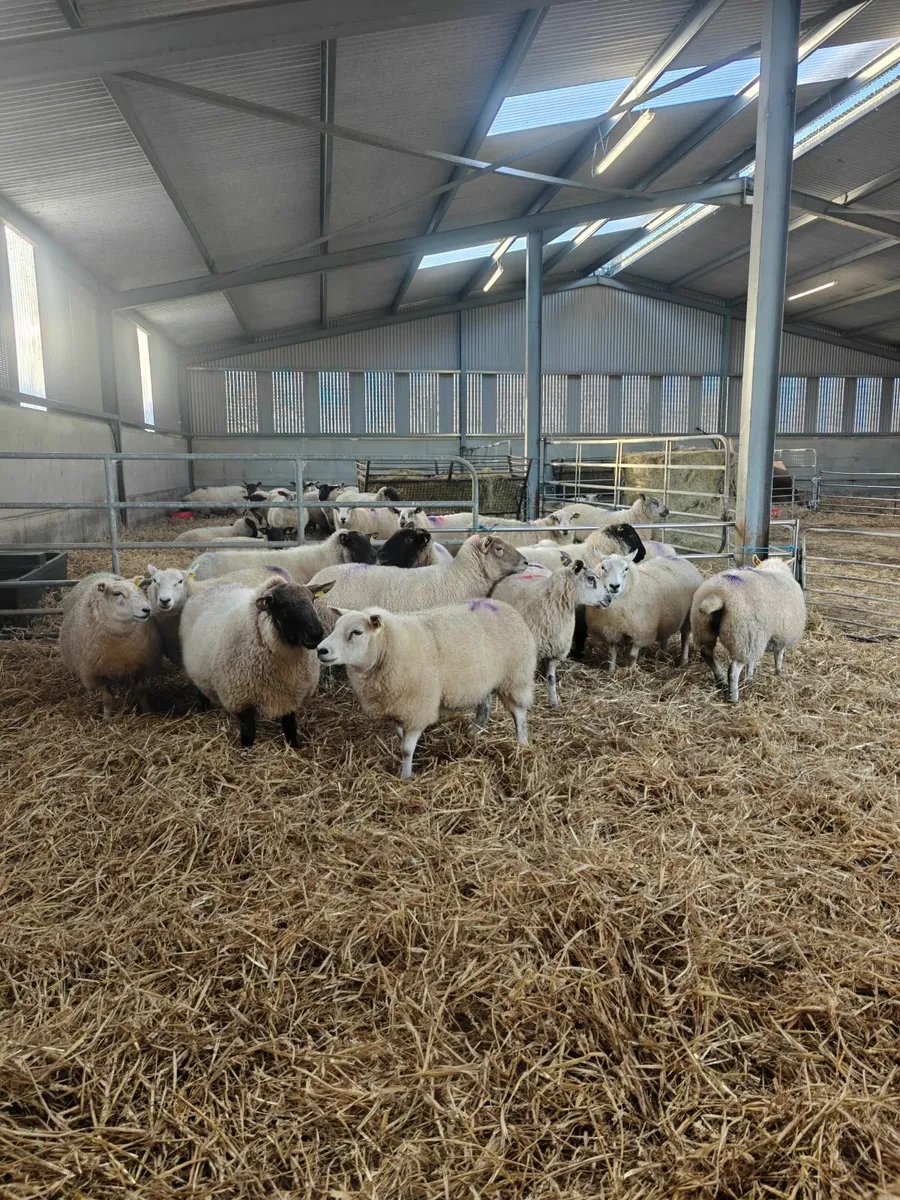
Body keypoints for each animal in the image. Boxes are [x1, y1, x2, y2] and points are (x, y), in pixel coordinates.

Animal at [59, 574, 161, 719]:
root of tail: (100, 573)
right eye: (117, 593)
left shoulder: (142, 667)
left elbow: (141, 691)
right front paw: (106, 718)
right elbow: (107, 699)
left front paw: (147, 712)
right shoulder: (96, 674)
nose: (147, 609)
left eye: (138, 590)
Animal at [180, 571, 323, 748]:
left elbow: (290, 728)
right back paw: (203, 710)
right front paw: (246, 753)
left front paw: (295, 747)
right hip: (196, 672)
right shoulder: (241, 700)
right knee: (201, 693)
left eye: (312, 600)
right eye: (284, 607)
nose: (317, 634)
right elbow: (248, 735)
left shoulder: (292, 698)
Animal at [316, 600, 537, 779]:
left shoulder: (417, 709)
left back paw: (522, 744)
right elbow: (400, 739)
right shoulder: (398, 707)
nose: (320, 650)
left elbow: (406, 749)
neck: (387, 646)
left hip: (515, 677)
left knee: (519, 714)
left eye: (357, 632)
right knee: (485, 706)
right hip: (482, 680)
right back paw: (474, 732)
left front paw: (406, 776)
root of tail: (506, 606)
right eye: (335, 627)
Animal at [690, 557, 805, 703]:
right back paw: (733, 697)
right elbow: (778, 656)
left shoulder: (758, 638)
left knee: (707, 653)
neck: (774, 569)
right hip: (744, 637)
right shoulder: (781, 635)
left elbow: (752, 662)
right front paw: (778, 673)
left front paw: (749, 680)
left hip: (703, 628)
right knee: (733, 670)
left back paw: (721, 679)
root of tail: (717, 594)